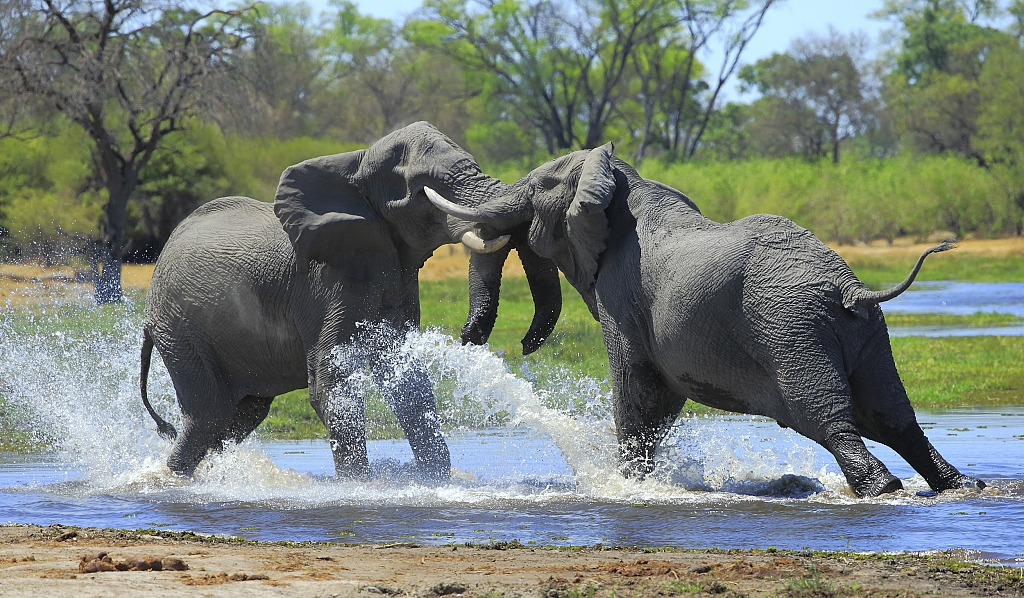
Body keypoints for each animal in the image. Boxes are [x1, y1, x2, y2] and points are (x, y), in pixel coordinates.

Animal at [138, 121, 561, 481]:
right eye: (422, 187)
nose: (469, 336)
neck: (355, 164)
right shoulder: (325, 282)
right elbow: (332, 383)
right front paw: (360, 488)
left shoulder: (395, 274)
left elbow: (406, 378)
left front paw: (432, 483)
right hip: (180, 329)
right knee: (208, 416)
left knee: (241, 416)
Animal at [428, 142, 987, 497]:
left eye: (541, 184)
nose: (471, 340)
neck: (618, 179)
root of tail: (849, 287)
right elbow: (661, 397)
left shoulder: (621, 294)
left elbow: (637, 387)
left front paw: (626, 487)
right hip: (864, 329)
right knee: (893, 416)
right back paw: (960, 484)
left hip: (792, 330)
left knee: (826, 417)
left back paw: (883, 488)